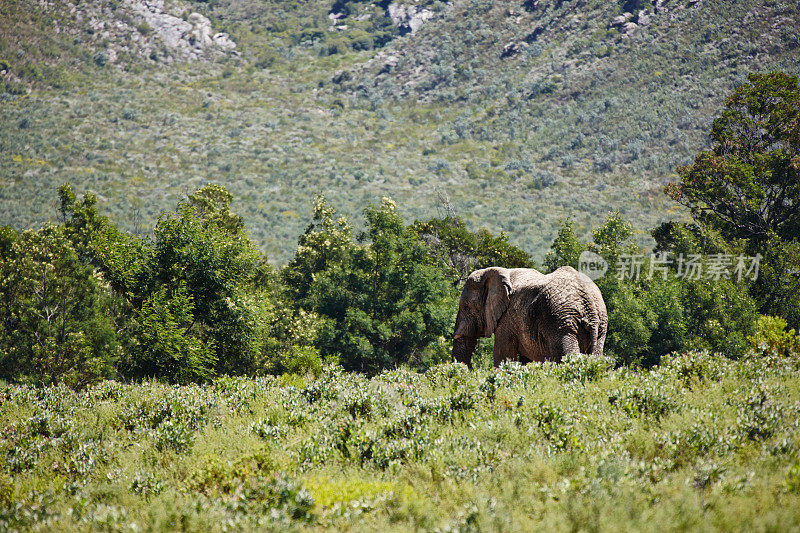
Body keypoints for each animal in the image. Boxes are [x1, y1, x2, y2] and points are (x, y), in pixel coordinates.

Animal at [450, 264, 608, 366]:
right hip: (600, 325)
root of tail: (589, 303)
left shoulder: (507, 319)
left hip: (562, 323)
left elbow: (503, 357)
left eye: (466, 307)